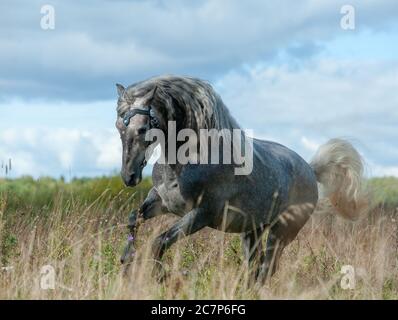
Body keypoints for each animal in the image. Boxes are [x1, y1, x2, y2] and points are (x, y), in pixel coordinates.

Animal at [114, 75, 364, 282]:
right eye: (118, 126)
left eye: (143, 128)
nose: (129, 177)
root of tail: (311, 171)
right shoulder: (162, 202)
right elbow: (133, 219)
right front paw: (126, 261)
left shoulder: (202, 214)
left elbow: (160, 242)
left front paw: (162, 277)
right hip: (253, 231)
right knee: (254, 267)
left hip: (282, 232)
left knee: (266, 269)